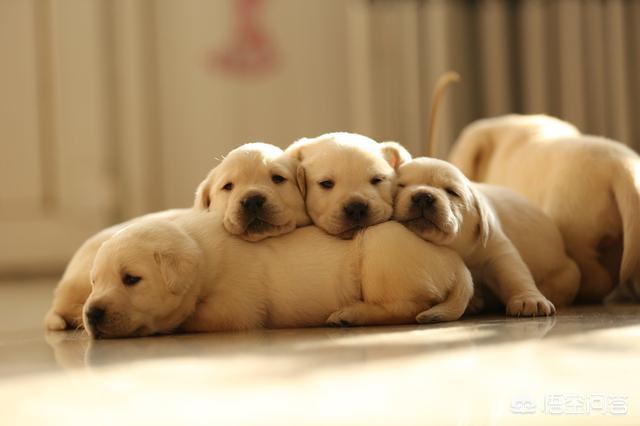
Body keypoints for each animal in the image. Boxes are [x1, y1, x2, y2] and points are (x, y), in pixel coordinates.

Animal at [82, 213, 472, 340]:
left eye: (131, 279)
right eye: (94, 282)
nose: (90, 313)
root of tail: (457, 263)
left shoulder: (235, 309)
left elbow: (195, 317)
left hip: (381, 246)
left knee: (405, 305)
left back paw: (351, 314)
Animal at [390, 157, 564, 316]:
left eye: (452, 192)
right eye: (400, 185)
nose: (423, 197)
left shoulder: (496, 249)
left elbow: (515, 275)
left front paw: (530, 300)